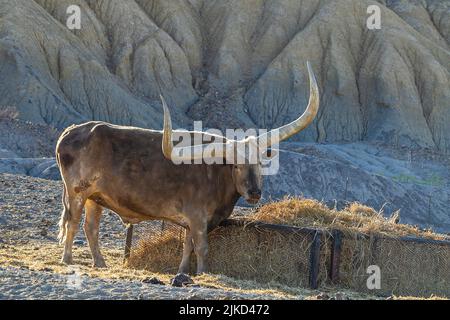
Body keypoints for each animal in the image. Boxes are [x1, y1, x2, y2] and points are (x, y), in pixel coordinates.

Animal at [56, 61, 320, 274]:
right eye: (236, 165)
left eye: (260, 162)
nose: (255, 192)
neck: (216, 175)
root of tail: (72, 131)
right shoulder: (197, 217)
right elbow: (201, 247)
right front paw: (202, 273)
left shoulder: (192, 221)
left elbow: (187, 246)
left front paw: (183, 271)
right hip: (77, 192)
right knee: (72, 222)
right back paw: (67, 259)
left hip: (95, 197)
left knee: (90, 227)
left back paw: (99, 263)